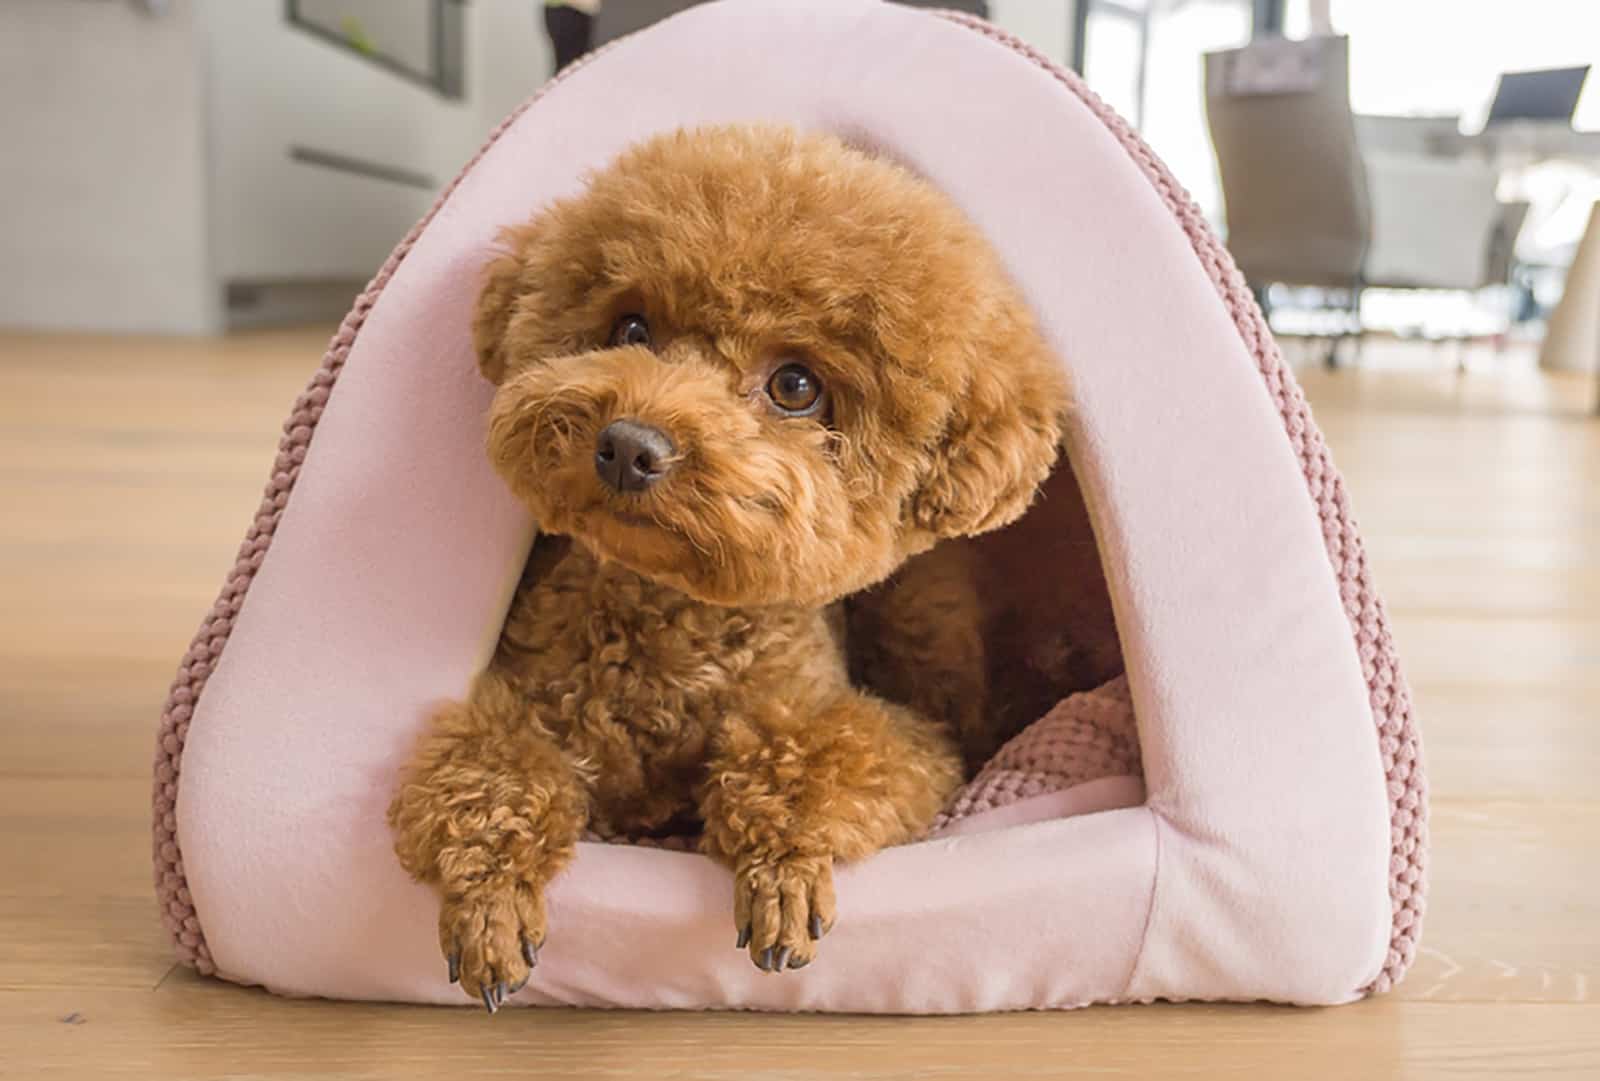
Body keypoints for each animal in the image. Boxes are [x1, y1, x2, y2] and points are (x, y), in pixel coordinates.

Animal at [384, 122, 1075, 1010]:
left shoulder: (877, 729)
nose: (628, 445)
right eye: (631, 329)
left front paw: (782, 871)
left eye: (796, 385)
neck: (664, 627)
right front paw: (489, 895)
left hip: (929, 617)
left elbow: (822, 756)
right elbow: (488, 769)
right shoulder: (521, 702)